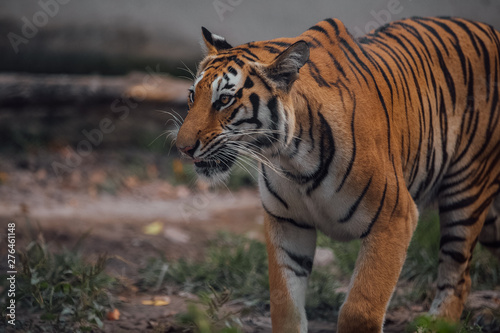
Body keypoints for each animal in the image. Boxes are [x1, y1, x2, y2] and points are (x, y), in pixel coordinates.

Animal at [175, 16, 500, 332]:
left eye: (224, 100)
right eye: (192, 96)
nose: (182, 148)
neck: (292, 161)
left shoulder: (394, 218)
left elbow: (360, 310)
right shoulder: (288, 223)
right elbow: (285, 306)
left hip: (465, 194)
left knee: (459, 276)